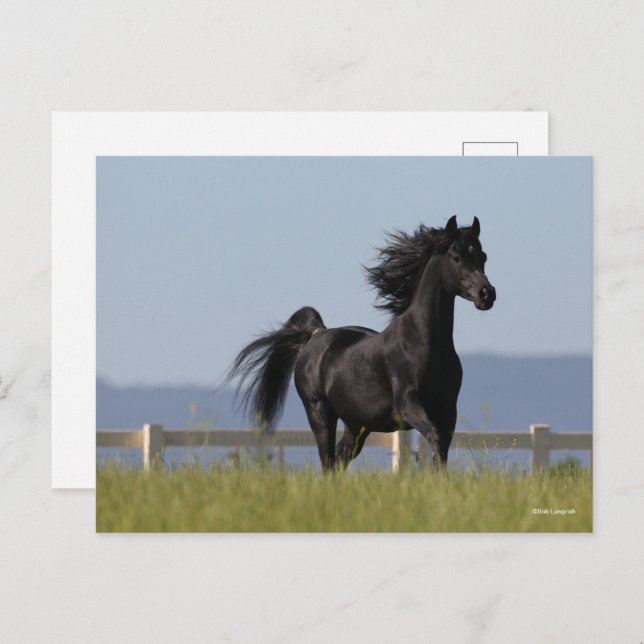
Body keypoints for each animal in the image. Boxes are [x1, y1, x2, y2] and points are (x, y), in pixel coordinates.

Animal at [226, 215, 496, 470]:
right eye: (456, 257)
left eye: (482, 256)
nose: (487, 294)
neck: (423, 343)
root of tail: (316, 334)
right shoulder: (409, 405)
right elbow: (435, 438)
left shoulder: (448, 410)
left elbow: (442, 450)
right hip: (319, 413)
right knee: (327, 462)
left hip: (356, 426)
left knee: (337, 463)